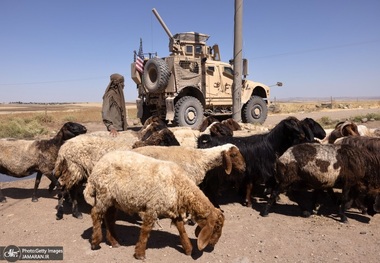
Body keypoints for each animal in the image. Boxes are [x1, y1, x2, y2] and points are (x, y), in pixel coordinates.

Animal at [84, 152, 226, 260]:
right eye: (216, 227)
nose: (213, 245)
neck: (179, 185)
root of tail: (97, 167)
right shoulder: (152, 207)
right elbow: (146, 231)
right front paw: (140, 254)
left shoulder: (173, 210)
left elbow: (181, 229)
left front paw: (188, 249)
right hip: (104, 193)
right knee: (95, 213)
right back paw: (95, 242)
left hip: (113, 199)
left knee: (109, 217)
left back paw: (114, 241)